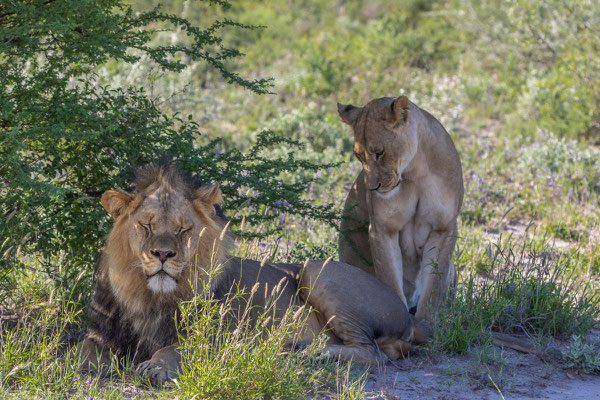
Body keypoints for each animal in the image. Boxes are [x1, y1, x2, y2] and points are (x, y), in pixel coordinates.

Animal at [82, 162, 434, 384]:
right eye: (146, 225)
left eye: (184, 229)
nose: (163, 254)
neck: (150, 295)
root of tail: (408, 314)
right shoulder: (104, 333)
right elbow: (82, 350)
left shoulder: (217, 338)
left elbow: (171, 348)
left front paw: (153, 368)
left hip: (315, 270)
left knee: (373, 353)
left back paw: (306, 353)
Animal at [338, 96, 464, 322]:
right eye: (359, 157)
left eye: (379, 153)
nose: (372, 188)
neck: (415, 170)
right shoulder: (382, 228)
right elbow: (390, 281)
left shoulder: (443, 227)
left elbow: (434, 285)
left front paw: (427, 323)